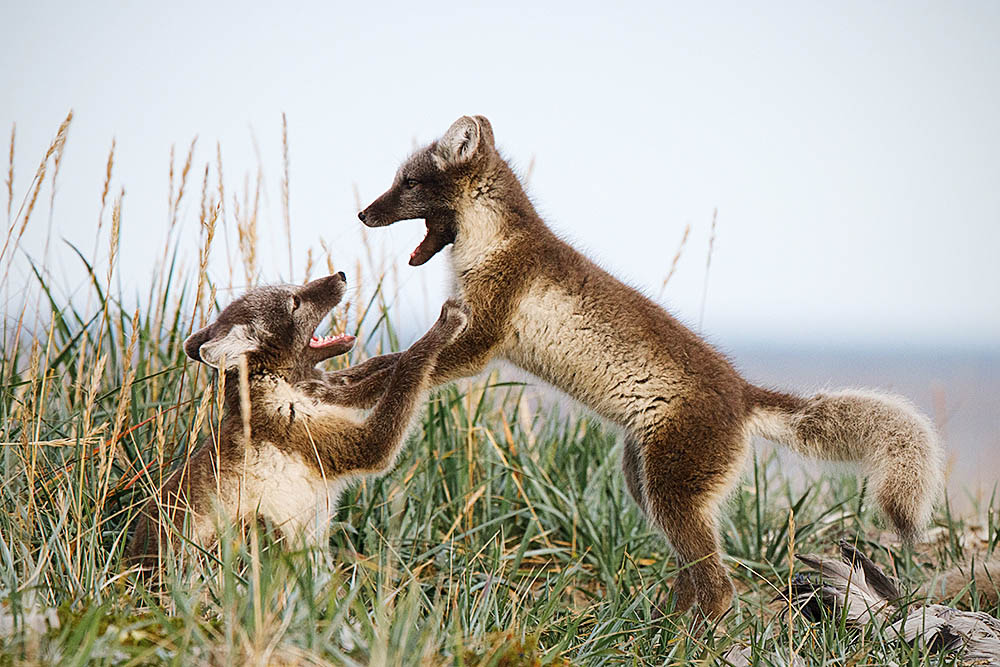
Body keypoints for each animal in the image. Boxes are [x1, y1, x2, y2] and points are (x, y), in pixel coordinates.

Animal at [126, 272, 468, 568]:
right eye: (295, 303)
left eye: (295, 289)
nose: (341, 274)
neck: (284, 386)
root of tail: (141, 577)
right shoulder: (361, 444)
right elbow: (410, 365)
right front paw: (445, 326)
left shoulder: (333, 391)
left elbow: (380, 368)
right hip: (256, 527)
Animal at [358, 115, 944, 620]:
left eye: (408, 182)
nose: (362, 214)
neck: (489, 243)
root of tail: (743, 392)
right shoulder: (468, 329)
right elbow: (395, 360)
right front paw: (352, 376)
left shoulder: (481, 341)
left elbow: (403, 362)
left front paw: (356, 387)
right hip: (647, 484)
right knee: (694, 575)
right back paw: (662, 626)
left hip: (669, 492)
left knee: (718, 586)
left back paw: (683, 639)